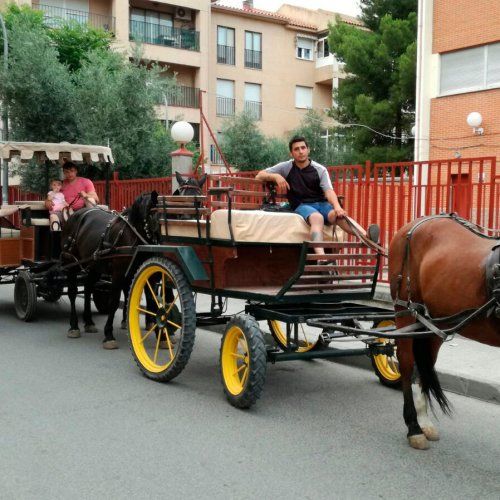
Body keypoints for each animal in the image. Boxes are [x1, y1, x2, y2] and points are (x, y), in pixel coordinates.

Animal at [60, 190, 158, 348]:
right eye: (153, 215)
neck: (133, 237)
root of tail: (74, 216)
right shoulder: (118, 273)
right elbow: (114, 301)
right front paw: (109, 334)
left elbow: (150, 298)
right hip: (71, 262)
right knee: (72, 293)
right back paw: (74, 326)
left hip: (94, 265)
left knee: (88, 288)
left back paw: (88, 321)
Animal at [388, 217, 498, 452]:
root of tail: (412, 224)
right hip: (405, 310)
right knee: (406, 362)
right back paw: (414, 427)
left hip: (435, 320)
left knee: (426, 363)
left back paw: (424, 422)